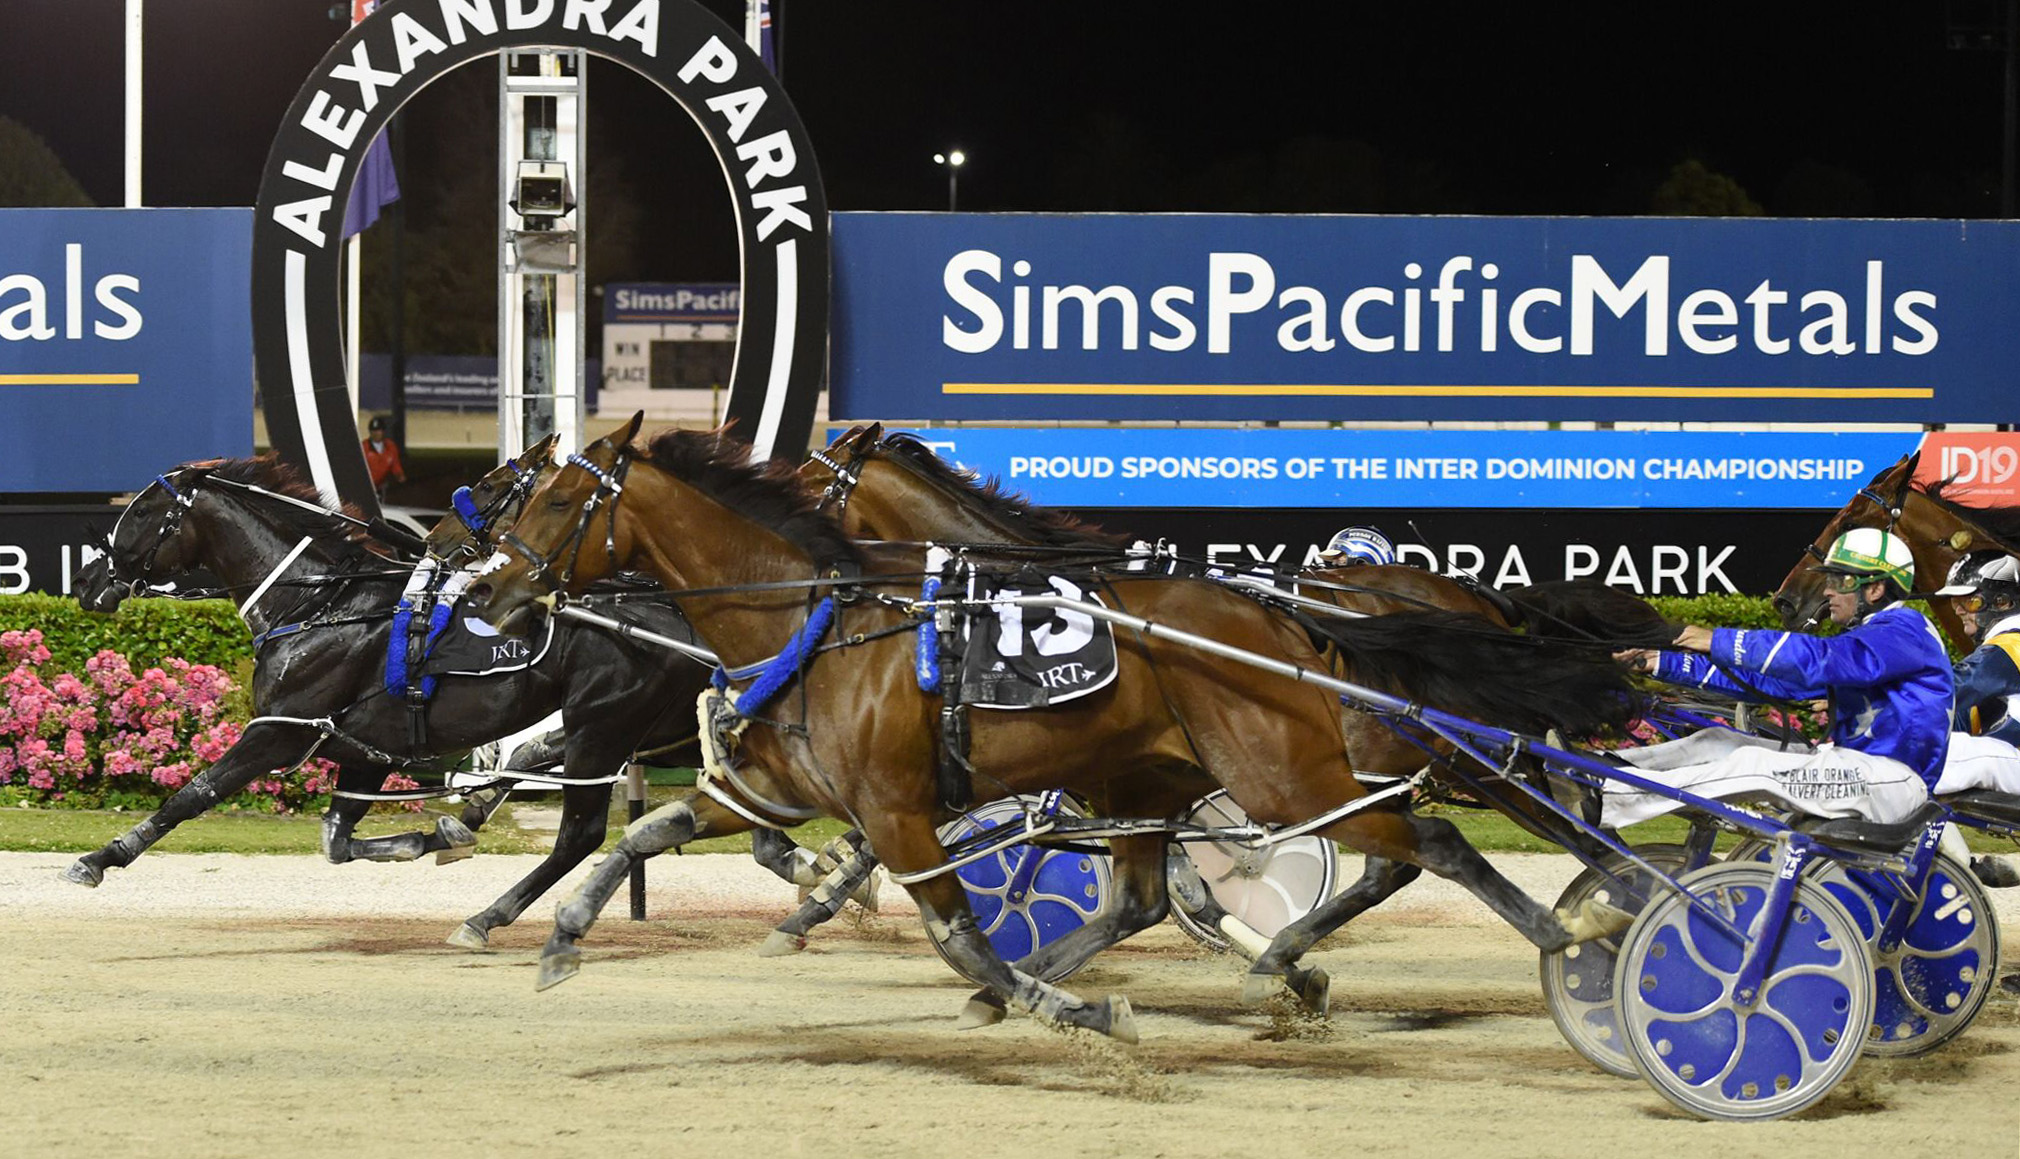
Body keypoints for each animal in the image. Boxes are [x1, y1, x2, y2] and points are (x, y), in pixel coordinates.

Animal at [468, 419, 1640, 1041]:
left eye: (554, 505)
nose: (488, 591)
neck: (825, 616)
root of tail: (1288, 618)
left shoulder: (901, 808)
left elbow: (957, 927)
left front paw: (1060, 1004)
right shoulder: (776, 787)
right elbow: (642, 832)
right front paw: (552, 938)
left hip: (1289, 773)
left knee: (1424, 843)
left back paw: (1579, 930)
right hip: (1166, 780)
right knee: (1150, 894)